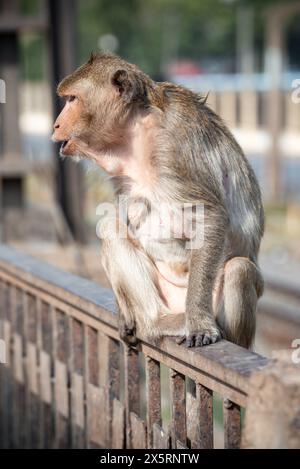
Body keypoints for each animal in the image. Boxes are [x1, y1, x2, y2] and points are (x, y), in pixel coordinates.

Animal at [52, 54, 264, 348]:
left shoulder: (173, 146)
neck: (136, 130)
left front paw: (200, 324)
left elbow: (209, 216)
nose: (56, 124)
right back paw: (156, 321)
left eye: (72, 99)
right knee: (111, 228)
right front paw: (122, 313)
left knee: (239, 269)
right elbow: (123, 217)